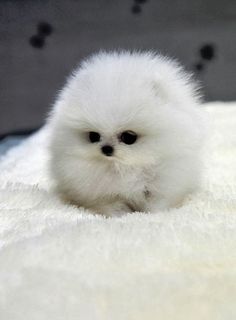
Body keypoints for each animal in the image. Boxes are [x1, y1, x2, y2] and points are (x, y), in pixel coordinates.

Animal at [48, 50, 206, 215]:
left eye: (128, 137)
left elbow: (157, 203)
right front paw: (118, 214)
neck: (124, 166)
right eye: (93, 136)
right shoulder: (99, 191)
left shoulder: (163, 183)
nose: (106, 149)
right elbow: (110, 205)